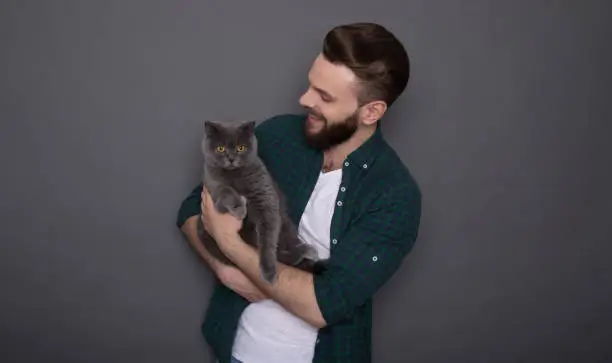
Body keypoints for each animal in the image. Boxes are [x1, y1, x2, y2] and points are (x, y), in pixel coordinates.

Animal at [197, 119, 326, 284]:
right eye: (220, 148)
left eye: (241, 148)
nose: (231, 159)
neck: (235, 176)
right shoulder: (212, 188)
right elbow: (225, 191)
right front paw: (239, 209)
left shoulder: (264, 197)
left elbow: (267, 239)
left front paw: (268, 272)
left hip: (286, 226)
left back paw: (305, 251)